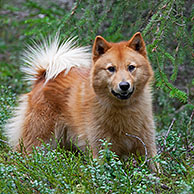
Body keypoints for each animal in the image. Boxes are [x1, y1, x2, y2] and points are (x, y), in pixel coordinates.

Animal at [5, 33, 158, 171]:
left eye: (131, 67)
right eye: (111, 68)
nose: (124, 85)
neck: (122, 111)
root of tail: (43, 77)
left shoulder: (147, 146)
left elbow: (155, 169)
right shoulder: (100, 149)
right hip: (38, 139)